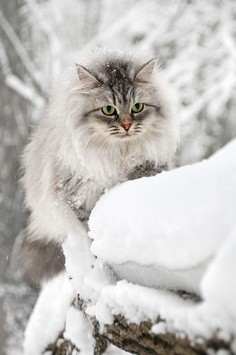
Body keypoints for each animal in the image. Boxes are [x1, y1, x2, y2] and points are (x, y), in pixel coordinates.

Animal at [19, 50, 179, 286]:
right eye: (108, 110)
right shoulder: (78, 199)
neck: (119, 155)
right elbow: (91, 237)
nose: (127, 125)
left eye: (137, 107)